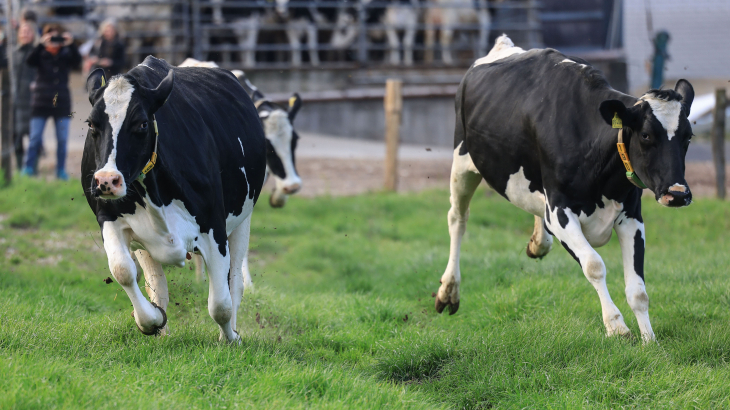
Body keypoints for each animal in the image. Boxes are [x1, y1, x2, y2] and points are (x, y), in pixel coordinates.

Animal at [82, 56, 266, 342]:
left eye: (142, 123)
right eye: (91, 124)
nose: (106, 181)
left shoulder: (214, 226)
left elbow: (220, 304)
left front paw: (230, 338)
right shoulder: (109, 217)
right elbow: (123, 270)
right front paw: (152, 319)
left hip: (242, 219)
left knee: (235, 282)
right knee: (156, 283)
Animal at [432, 35, 692, 342]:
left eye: (689, 136)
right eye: (646, 135)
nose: (678, 193)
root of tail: (503, 45)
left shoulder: (631, 216)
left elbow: (638, 291)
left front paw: (649, 340)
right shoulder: (560, 211)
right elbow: (594, 265)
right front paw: (616, 326)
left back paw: (537, 242)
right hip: (462, 160)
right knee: (457, 218)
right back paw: (449, 291)